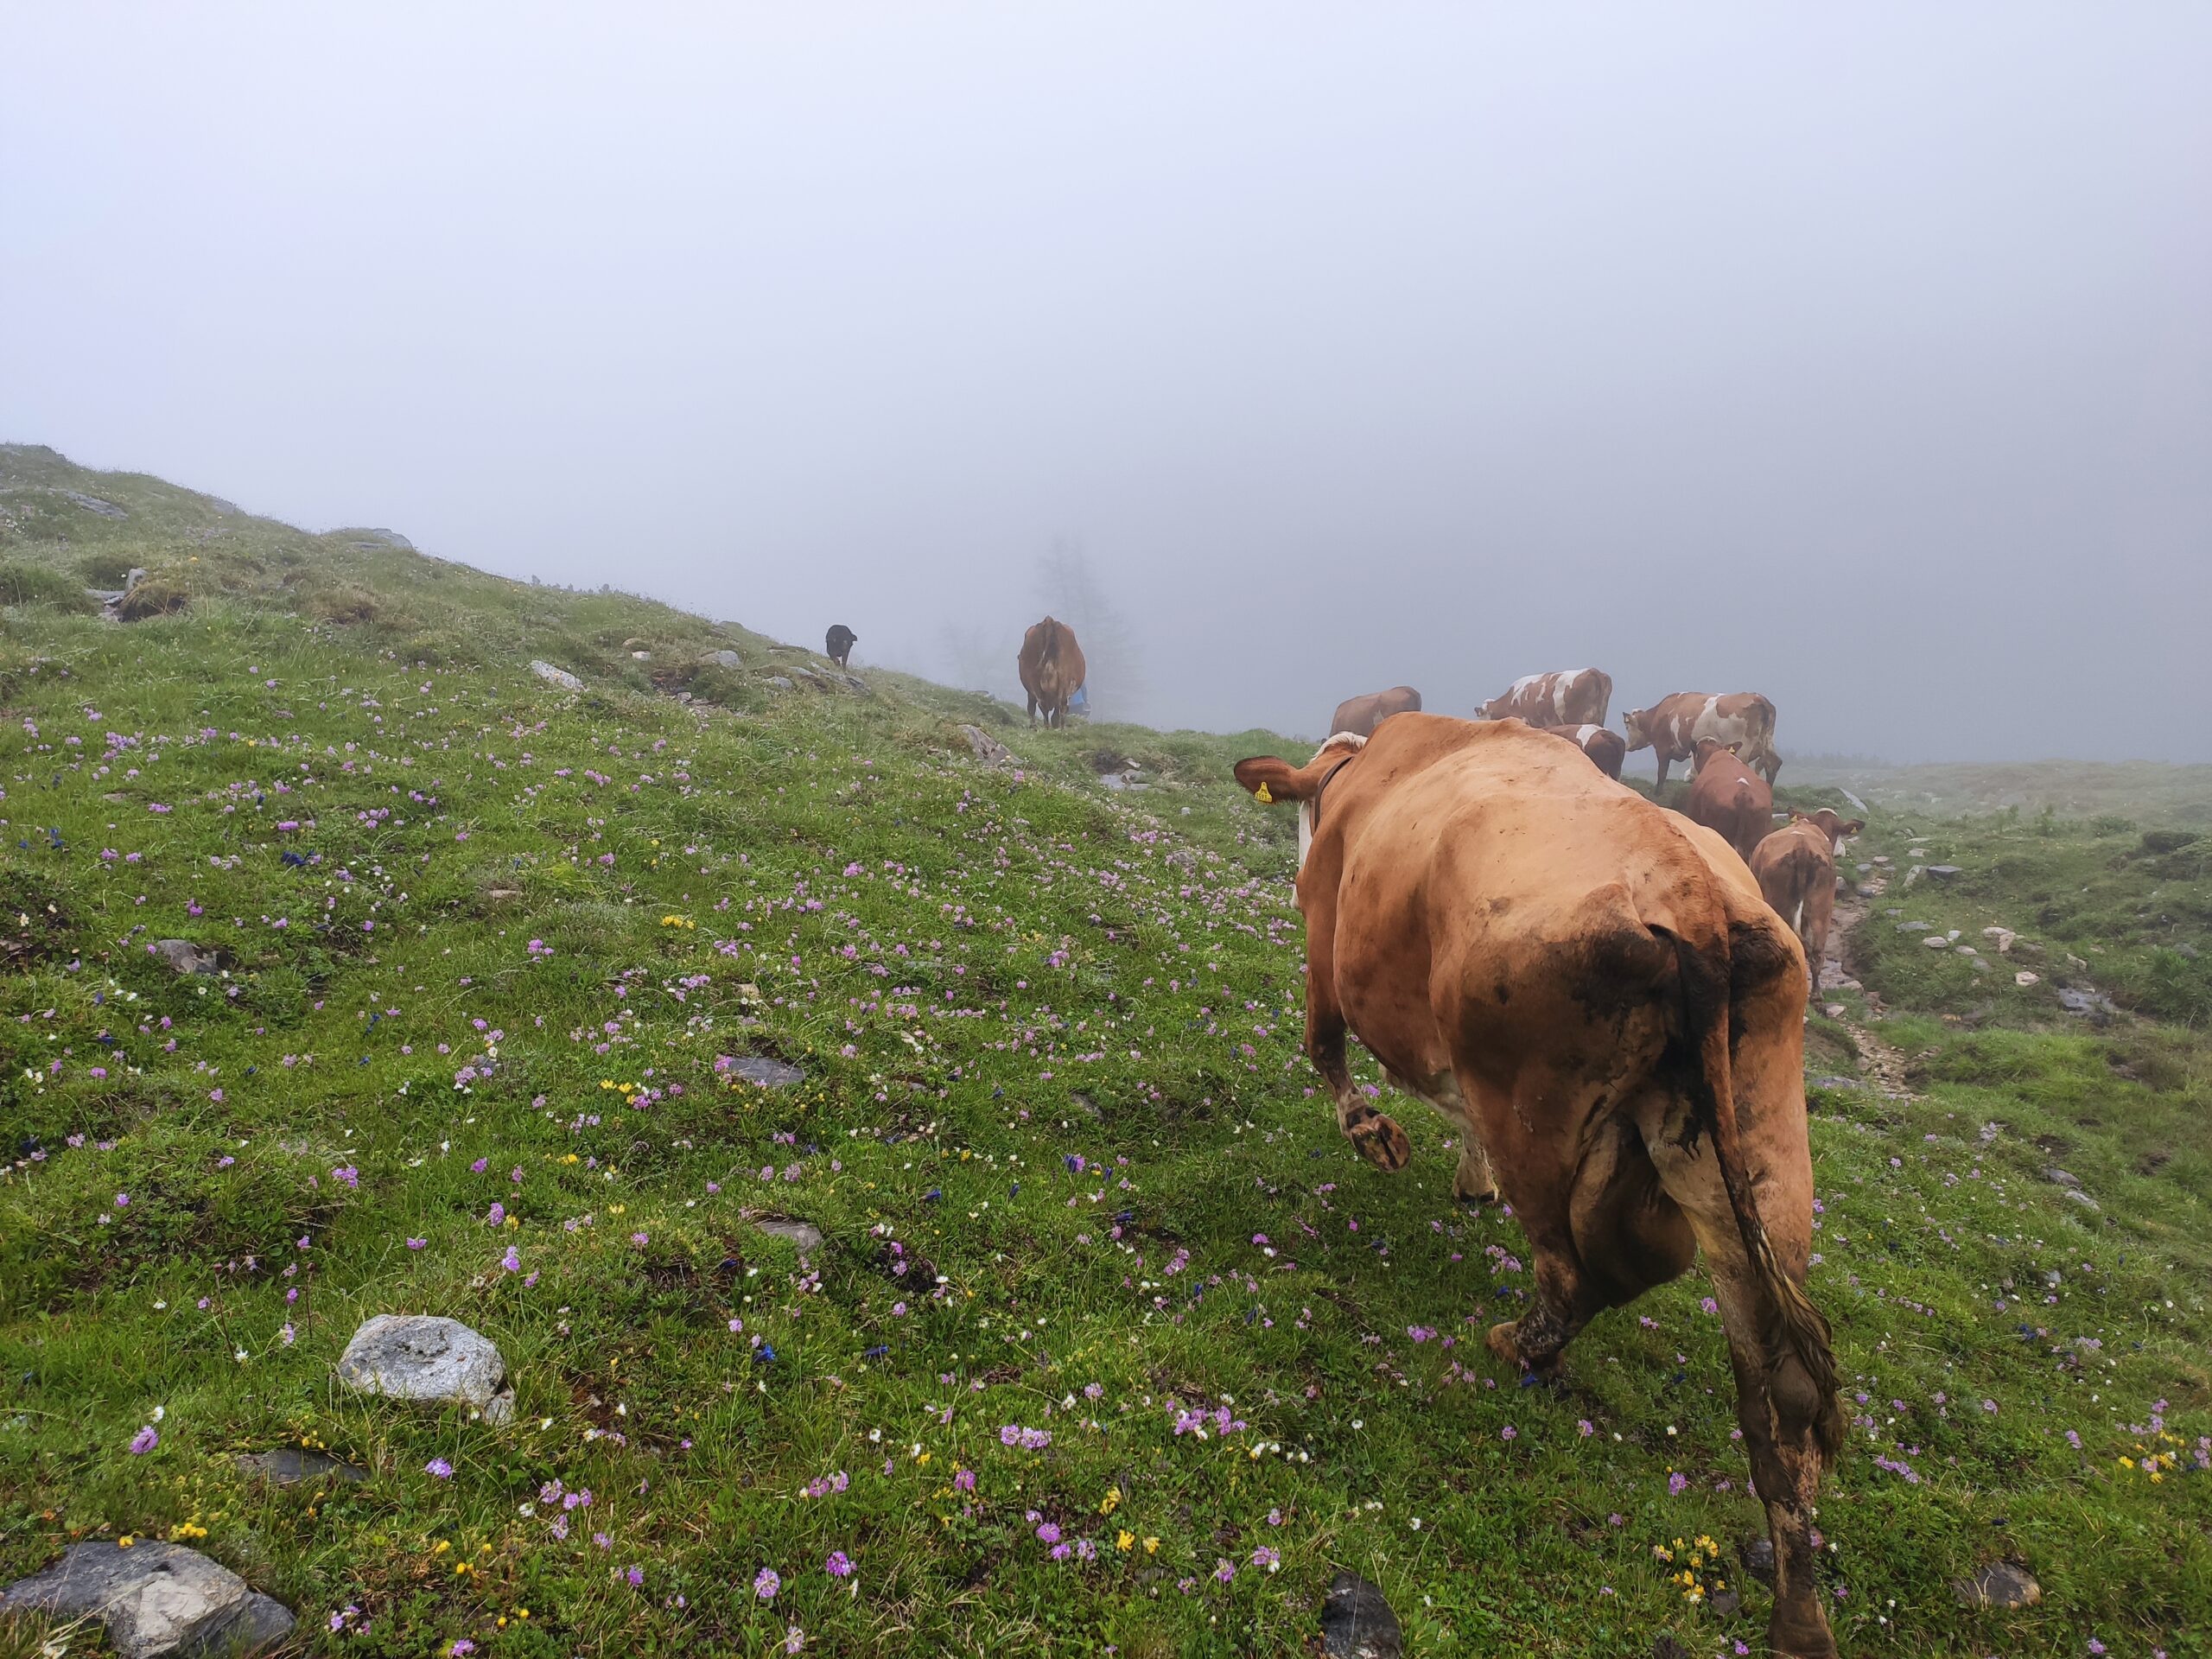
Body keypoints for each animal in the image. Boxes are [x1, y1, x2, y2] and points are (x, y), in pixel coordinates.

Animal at [1628, 690, 1778, 787]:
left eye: (1627, 727)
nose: (1628, 746)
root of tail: (1759, 699)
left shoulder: (1662, 747)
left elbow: (1662, 773)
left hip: (1743, 749)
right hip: (1767, 741)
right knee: (1772, 763)